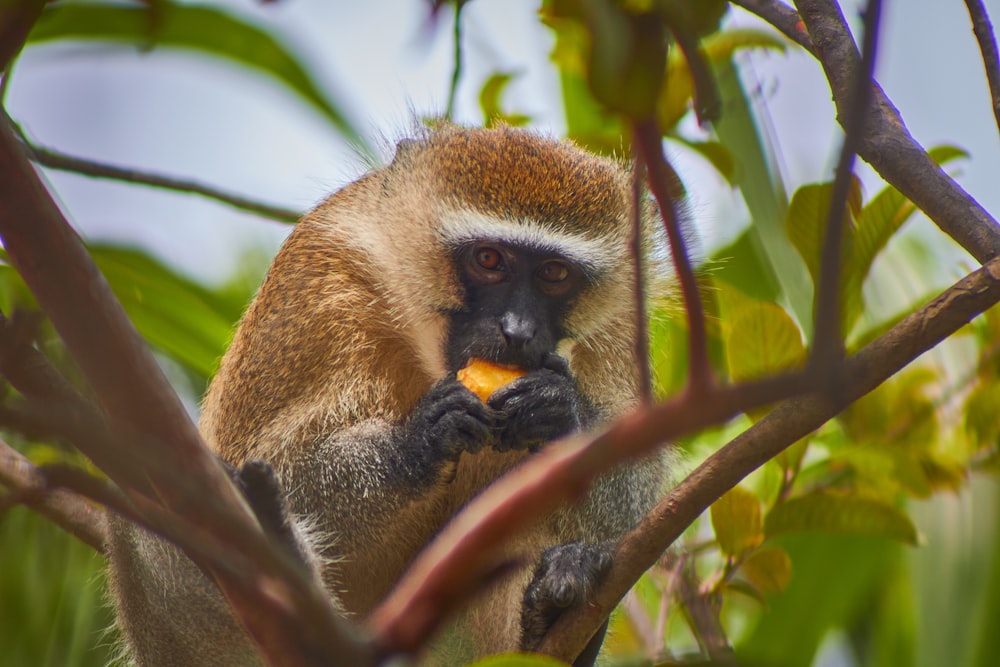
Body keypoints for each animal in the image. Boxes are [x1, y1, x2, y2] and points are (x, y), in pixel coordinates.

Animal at [105, 126, 672, 667]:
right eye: (489, 259)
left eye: (555, 273)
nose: (517, 330)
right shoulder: (322, 279)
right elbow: (264, 464)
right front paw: (420, 439)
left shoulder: (621, 323)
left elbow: (631, 501)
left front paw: (560, 410)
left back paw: (551, 615)